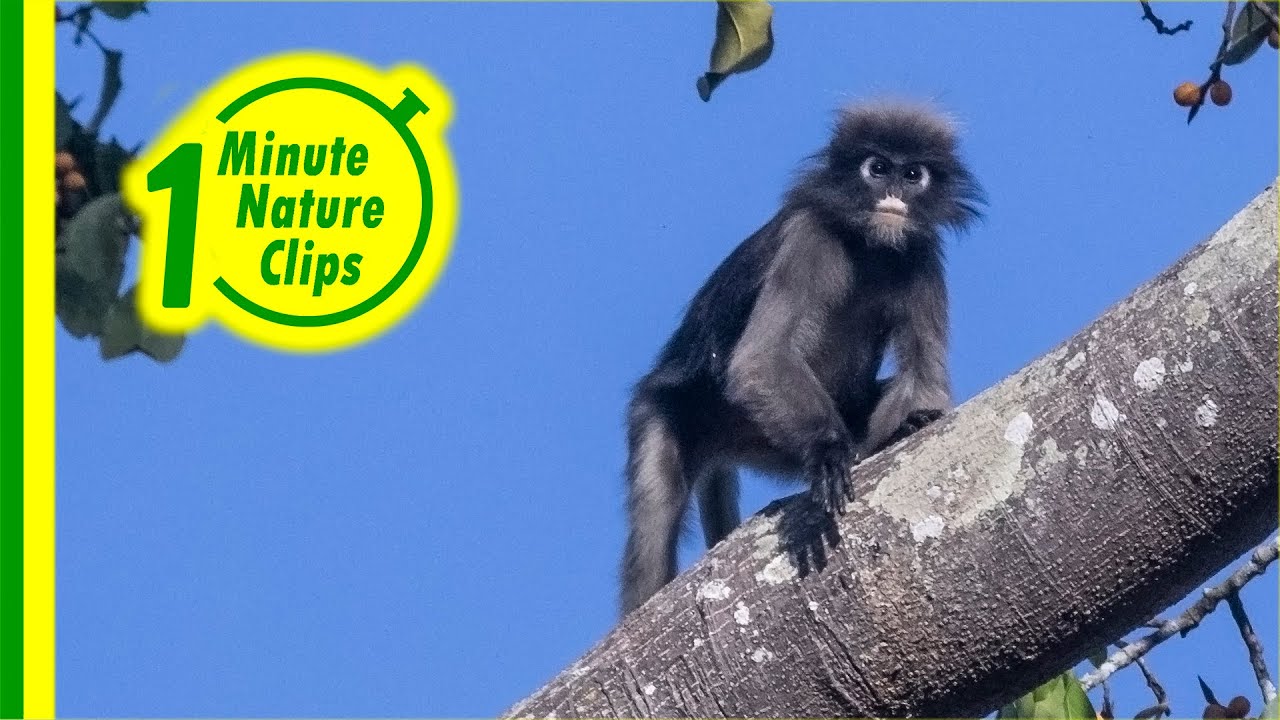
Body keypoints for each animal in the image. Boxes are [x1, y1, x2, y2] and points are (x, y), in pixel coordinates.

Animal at [618, 100, 984, 615]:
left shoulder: (922, 255)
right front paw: (828, 452)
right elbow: (761, 359)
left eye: (913, 174)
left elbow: (924, 379)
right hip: (666, 410)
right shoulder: (809, 239)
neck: (868, 245)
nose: (893, 194)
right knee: (656, 511)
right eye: (877, 168)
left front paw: (909, 426)